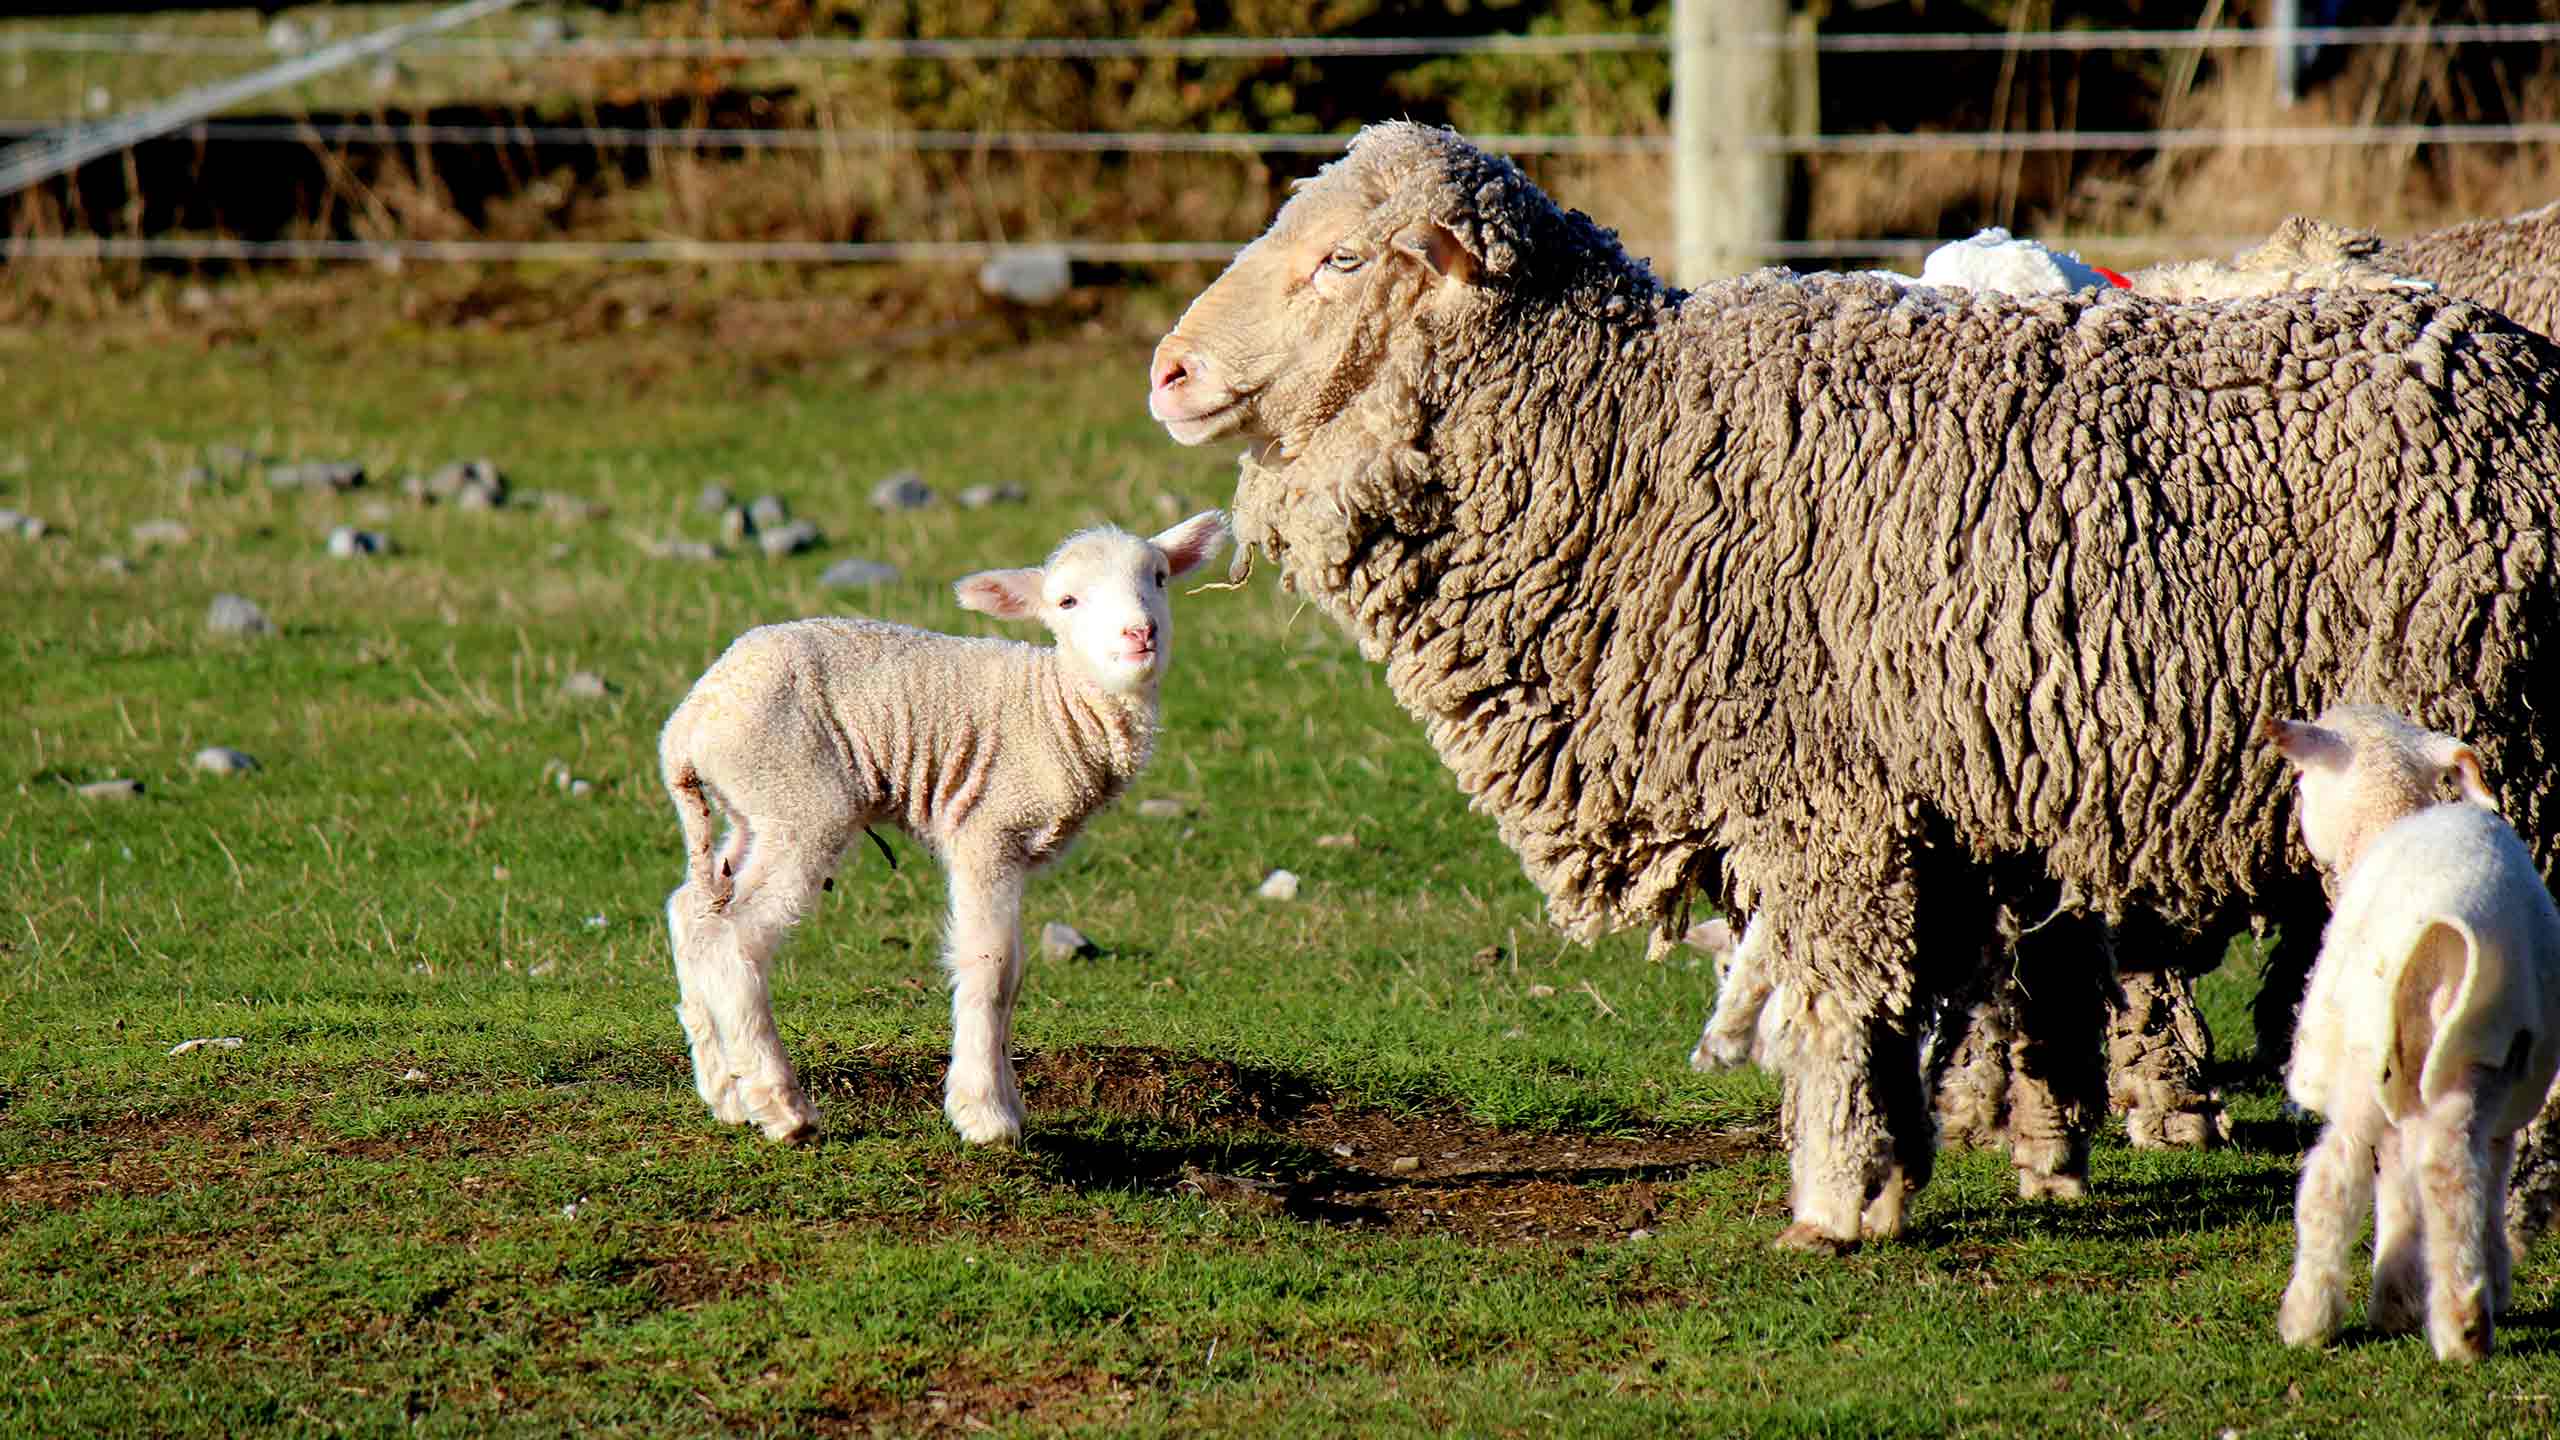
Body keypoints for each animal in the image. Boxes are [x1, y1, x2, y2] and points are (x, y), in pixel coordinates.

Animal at [655, 509, 1223, 1137]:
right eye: (1067, 600)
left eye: (1160, 578)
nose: (1140, 634)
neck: (1057, 706)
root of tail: (687, 726)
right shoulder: (989, 828)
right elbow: (990, 965)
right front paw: (985, 1113)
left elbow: (1015, 973)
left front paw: (1009, 1102)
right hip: (800, 799)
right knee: (735, 938)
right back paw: (782, 1105)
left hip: (754, 808)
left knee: (694, 915)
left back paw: (725, 1093)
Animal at [1146, 120, 2560, 1245]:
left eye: (1341, 260)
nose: (1167, 371)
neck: (1623, 447)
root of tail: (2525, 380)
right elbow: (1921, 1001)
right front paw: (1904, 1172)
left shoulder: (1825, 799)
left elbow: (1839, 1001)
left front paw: (1832, 1204)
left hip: (2499, 747)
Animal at [2263, 707, 2560, 1352]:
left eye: (2301, 781)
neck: (2389, 817)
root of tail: (2444, 926)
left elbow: (2389, 1178)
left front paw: (2391, 1299)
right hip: (2475, 1048)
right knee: (2453, 1169)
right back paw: (2465, 1321)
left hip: (2369, 1046)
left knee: (2338, 1171)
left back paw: (2308, 1317)